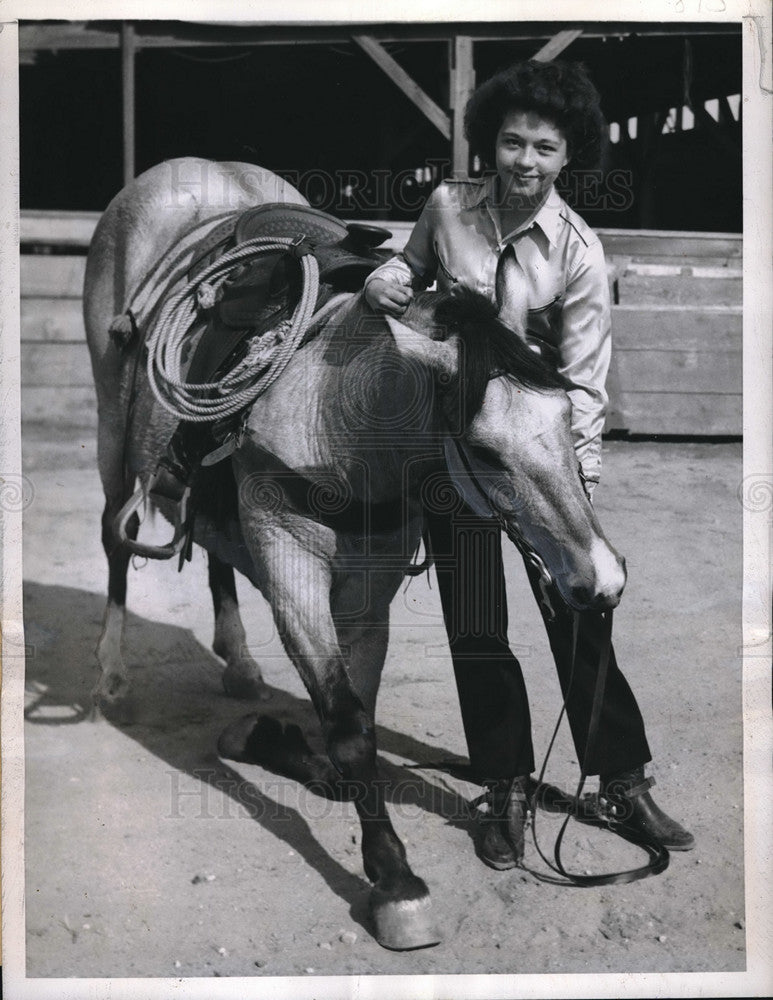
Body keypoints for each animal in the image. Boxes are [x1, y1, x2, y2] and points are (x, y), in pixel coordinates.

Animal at [86, 158, 628, 952]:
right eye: (486, 452)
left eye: (567, 413)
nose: (601, 580)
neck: (335, 416)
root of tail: (186, 171)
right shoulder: (292, 571)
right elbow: (347, 726)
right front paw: (395, 881)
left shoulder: (368, 591)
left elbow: (359, 713)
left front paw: (286, 746)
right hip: (112, 430)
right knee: (112, 540)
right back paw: (111, 674)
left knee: (213, 552)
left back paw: (239, 665)